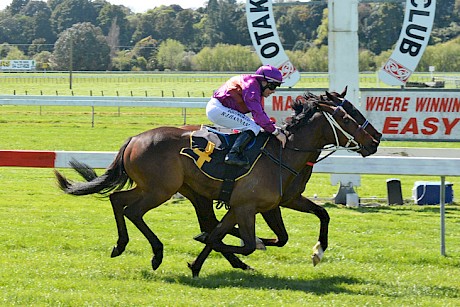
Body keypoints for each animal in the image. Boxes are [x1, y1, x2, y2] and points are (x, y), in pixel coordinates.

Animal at [54, 95, 378, 278]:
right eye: (348, 116)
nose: (375, 140)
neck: (285, 152)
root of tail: (134, 139)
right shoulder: (247, 207)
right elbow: (244, 243)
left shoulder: (274, 203)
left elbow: (314, 219)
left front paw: (318, 251)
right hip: (161, 190)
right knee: (133, 211)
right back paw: (156, 253)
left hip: (162, 188)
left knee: (118, 200)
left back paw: (121, 245)